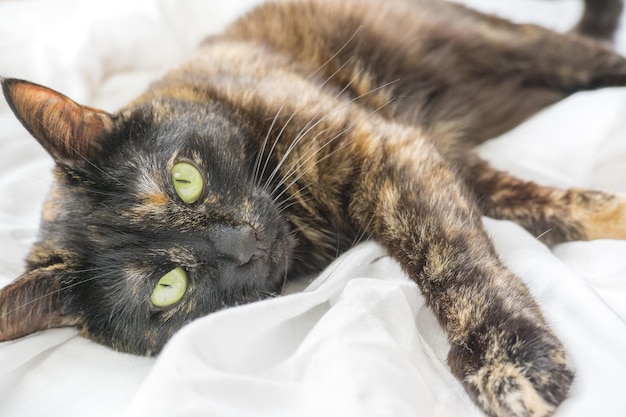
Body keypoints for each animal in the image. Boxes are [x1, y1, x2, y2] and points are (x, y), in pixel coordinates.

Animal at [1, 0, 624, 414]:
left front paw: (505, 360)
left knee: (591, 57)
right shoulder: (434, 159)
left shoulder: (386, 154)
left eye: (185, 180)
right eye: (167, 288)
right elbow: (548, 209)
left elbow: (450, 263)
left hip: (506, 44)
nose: (243, 243)